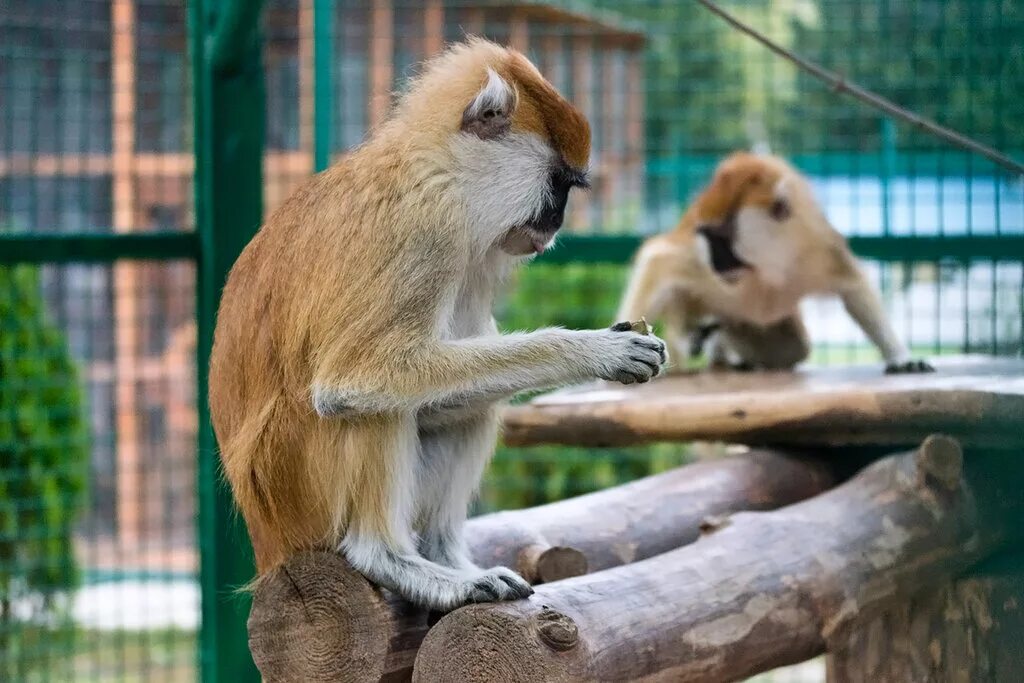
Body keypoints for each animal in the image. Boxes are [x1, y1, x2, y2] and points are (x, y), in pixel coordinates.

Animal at [209, 40, 671, 610]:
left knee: (468, 405)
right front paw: (595, 351)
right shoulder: (428, 226)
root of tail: (269, 543)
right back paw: (396, 561)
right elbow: (356, 378)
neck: (434, 164)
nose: (556, 223)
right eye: (558, 183)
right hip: (296, 480)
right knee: (369, 405)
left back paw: (445, 555)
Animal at [614, 150, 937, 374]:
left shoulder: (816, 246)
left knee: (792, 349)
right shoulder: (698, 262)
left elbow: (853, 285)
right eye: (706, 237)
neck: (768, 263)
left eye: (721, 240)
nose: (716, 265)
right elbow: (658, 258)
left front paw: (902, 358)